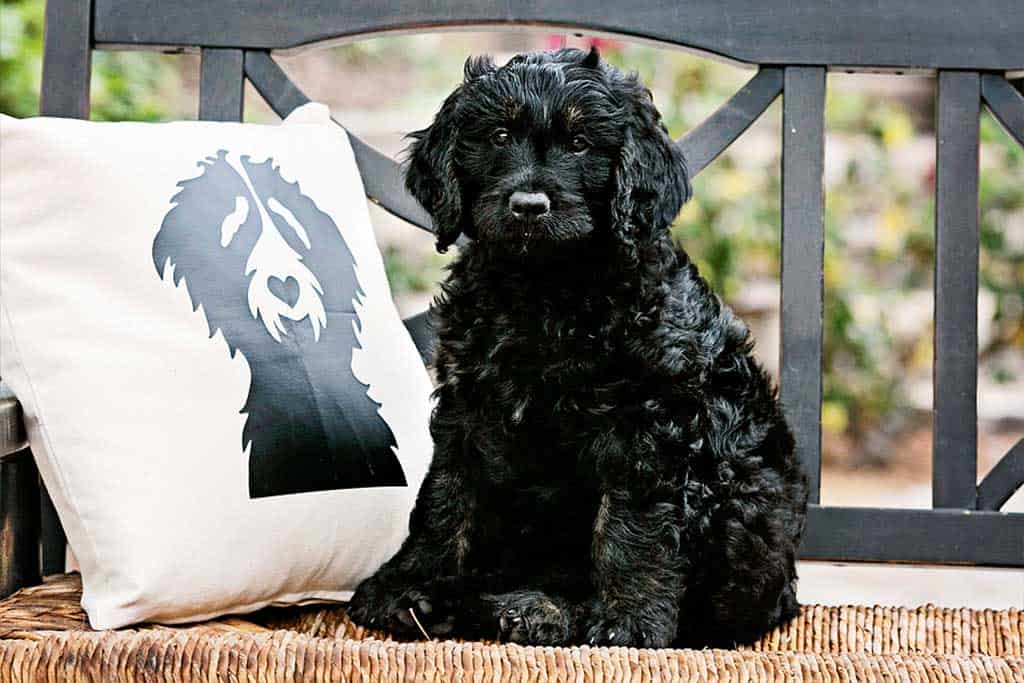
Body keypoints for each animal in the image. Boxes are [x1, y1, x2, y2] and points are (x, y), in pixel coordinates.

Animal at [348, 48, 811, 647]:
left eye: (581, 143)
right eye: (498, 136)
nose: (528, 205)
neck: (548, 290)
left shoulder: (648, 423)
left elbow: (630, 525)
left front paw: (627, 621)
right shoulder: (467, 408)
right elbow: (445, 501)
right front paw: (408, 587)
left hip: (743, 498)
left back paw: (544, 610)